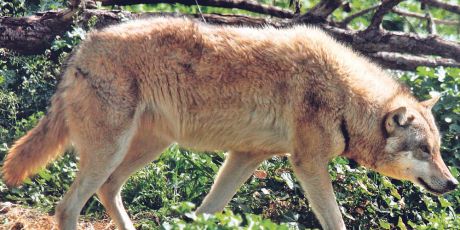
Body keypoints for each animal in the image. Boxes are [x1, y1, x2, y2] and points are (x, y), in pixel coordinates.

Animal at [1, 17, 458, 229]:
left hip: (148, 148)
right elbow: (337, 221)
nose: (453, 183)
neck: (346, 97)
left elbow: (205, 212)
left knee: (108, 190)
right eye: (425, 150)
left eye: (437, 150)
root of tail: (81, 46)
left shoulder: (246, 156)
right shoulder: (307, 165)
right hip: (111, 150)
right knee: (68, 206)